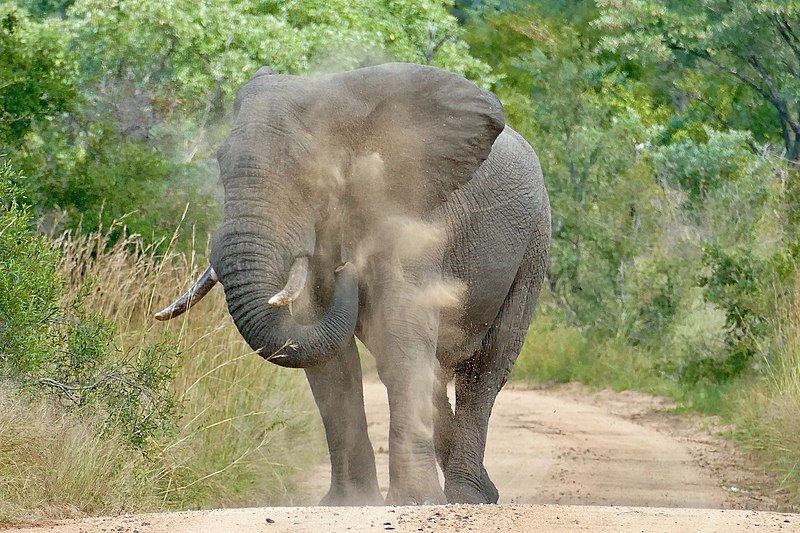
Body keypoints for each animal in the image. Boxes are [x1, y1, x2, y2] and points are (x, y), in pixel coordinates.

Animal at [155, 61, 552, 502]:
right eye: (220, 162)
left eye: (308, 172)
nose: (347, 267)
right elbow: (328, 358)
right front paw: (349, 503)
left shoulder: (411, 211)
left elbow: (402, 327)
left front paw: (413, 502)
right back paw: (481, 490)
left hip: (533, 244)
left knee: (487, 366)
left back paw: (470, 497)